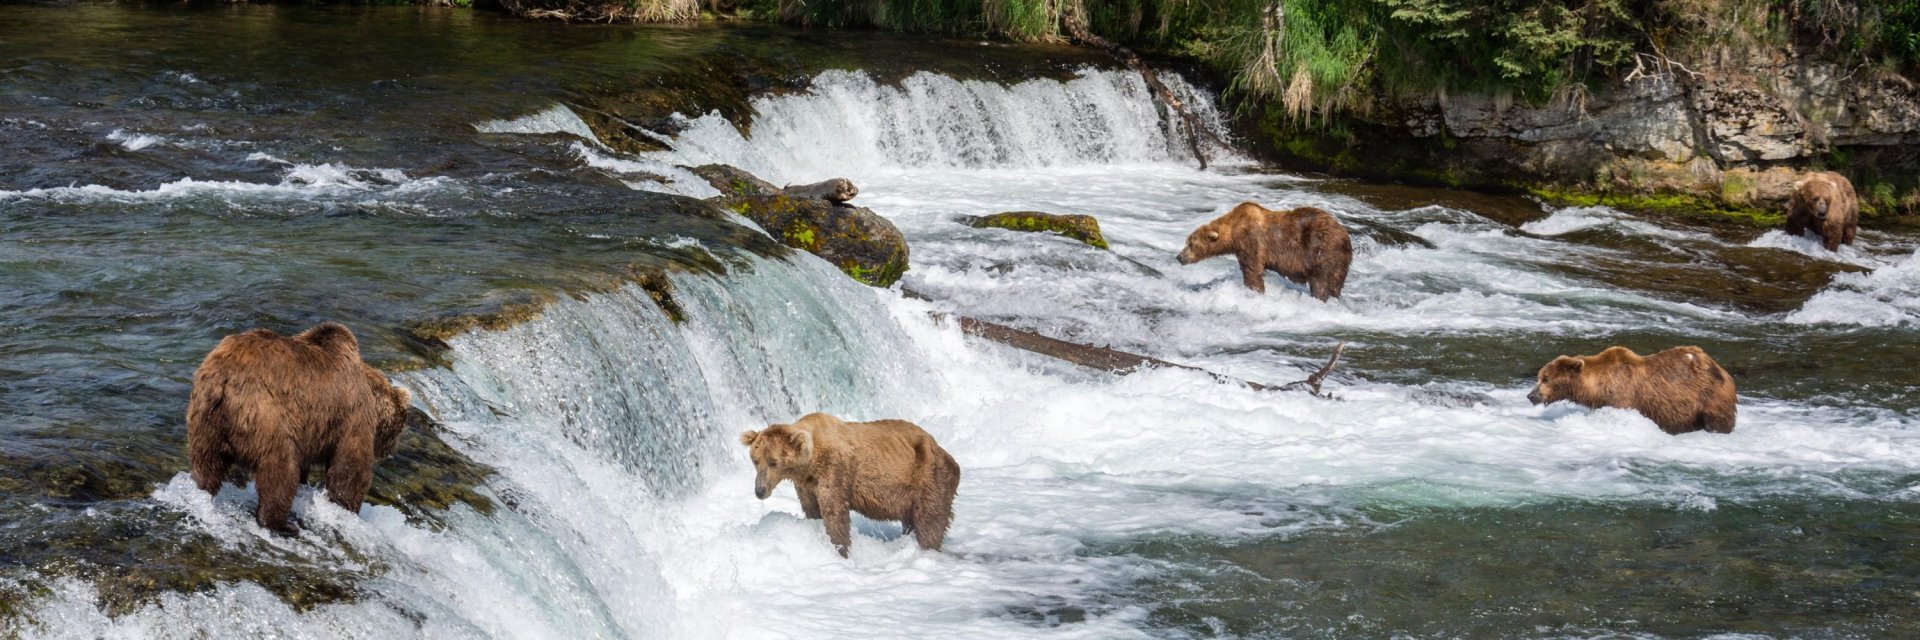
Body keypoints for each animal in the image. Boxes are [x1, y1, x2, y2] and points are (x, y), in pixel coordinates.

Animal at [185, 319, 410, 534]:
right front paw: (348, 507)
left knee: (207, 463)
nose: (392, 449)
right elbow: (350, 467)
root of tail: (224, 378)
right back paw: (281, 524)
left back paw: (201, 492)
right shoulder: (352, 415)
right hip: (267, 415)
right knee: (280, 470)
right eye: (401, 424)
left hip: (205, 419)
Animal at [744, 413, 967, 553]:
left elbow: (835, 513)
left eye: (773, 462)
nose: (759, 490)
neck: (810, 464)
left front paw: (840, 548)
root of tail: (943, 451)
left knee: (930, 521)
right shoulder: (806, 484)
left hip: (929, 477)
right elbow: (812, 509)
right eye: (755, 460)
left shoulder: (835, 470)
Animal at [1175, 201, 1359, 299]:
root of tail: (1345, 235)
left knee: (1320, 281)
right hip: (1342, 262)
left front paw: (1255, 291)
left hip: (1322, 251)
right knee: (1336, 283)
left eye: (1190, 244)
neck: (1234, 231)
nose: (1179, 257)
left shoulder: (1251, 242)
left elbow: (1252, 270)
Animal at [1528, 345, 1743, 436]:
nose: (1531, 395)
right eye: (1539, 377)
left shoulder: (1624, 396)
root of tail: (1724, 371)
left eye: (1546, 379)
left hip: (1709, 397)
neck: (1598, 387)